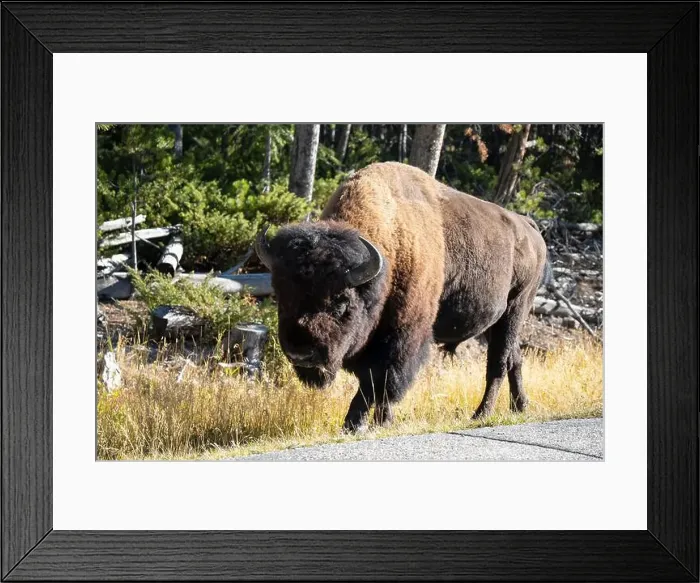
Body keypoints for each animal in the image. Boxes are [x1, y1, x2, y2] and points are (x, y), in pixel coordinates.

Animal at [255, 162, 547, 432]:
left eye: (341, 302)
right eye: (282, 296)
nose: (301, 353)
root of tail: (529, 227)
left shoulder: (401, 337)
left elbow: (380, 380)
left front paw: (361, 423)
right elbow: (373, 381)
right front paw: (372, 422)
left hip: (516, 308)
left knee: (498, 363)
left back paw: (481, 414)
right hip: (494, 323)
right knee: (514, 358)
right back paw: (519, 406)